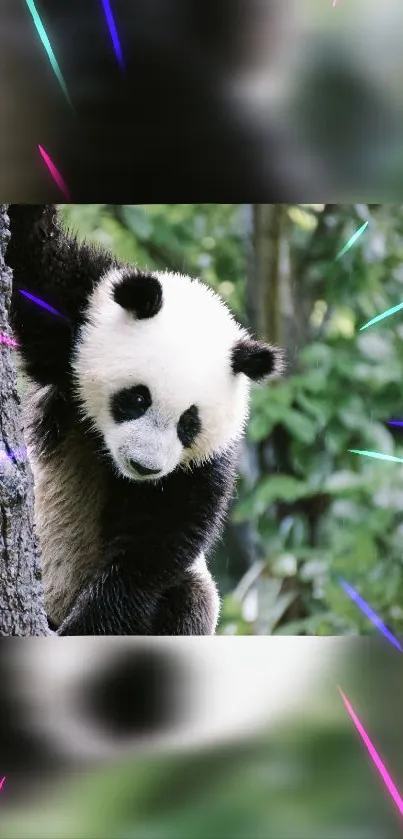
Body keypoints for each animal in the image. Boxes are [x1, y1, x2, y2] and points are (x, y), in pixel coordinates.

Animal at [6, 205, 284, 636]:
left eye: (189, 423)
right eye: (136, 398)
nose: (144, 466)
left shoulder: (200, 465)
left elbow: (154, 544)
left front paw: (87, 628)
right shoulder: (75, 315)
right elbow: (31, 256)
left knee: (189, 599)